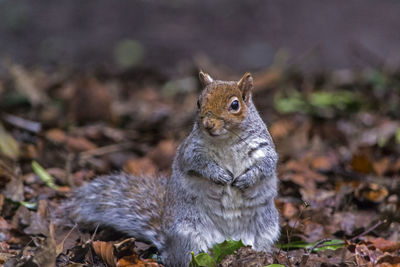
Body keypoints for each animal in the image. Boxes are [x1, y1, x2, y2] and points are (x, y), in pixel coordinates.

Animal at [67, 71, 280, 267]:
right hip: (189, 236)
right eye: (198, 102)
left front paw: (245, 179)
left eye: (235, 105)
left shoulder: (264, 149)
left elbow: (266, 166)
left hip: (266, 230)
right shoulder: (191, 152)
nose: (208, 124)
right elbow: (199, 165)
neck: (225, 141)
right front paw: (219, 175)